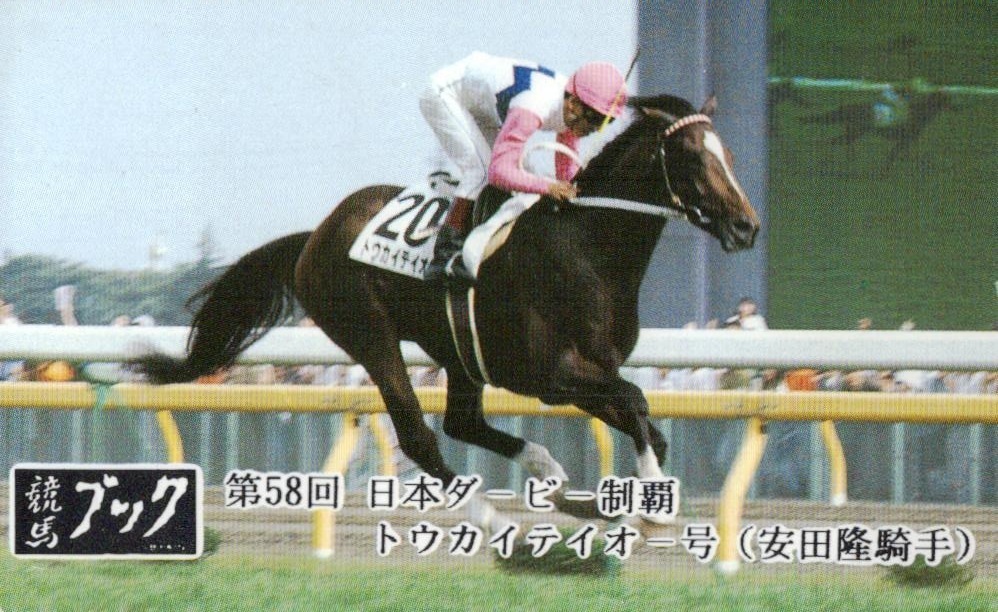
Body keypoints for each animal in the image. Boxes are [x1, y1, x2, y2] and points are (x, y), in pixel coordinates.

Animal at [136, 94, 759, 525]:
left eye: (728, 154)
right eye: (692, 158)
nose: (747, 226)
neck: (586, 247)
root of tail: (316, 233)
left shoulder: (587, 374)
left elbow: (645, 420)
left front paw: (629, 497)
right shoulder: (552, 375)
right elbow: (635, 402)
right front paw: (649, 502)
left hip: (458, 354)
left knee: (462, 421)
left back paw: (549, 476)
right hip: (368, 333)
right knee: (420, 436)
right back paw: (492, 517)